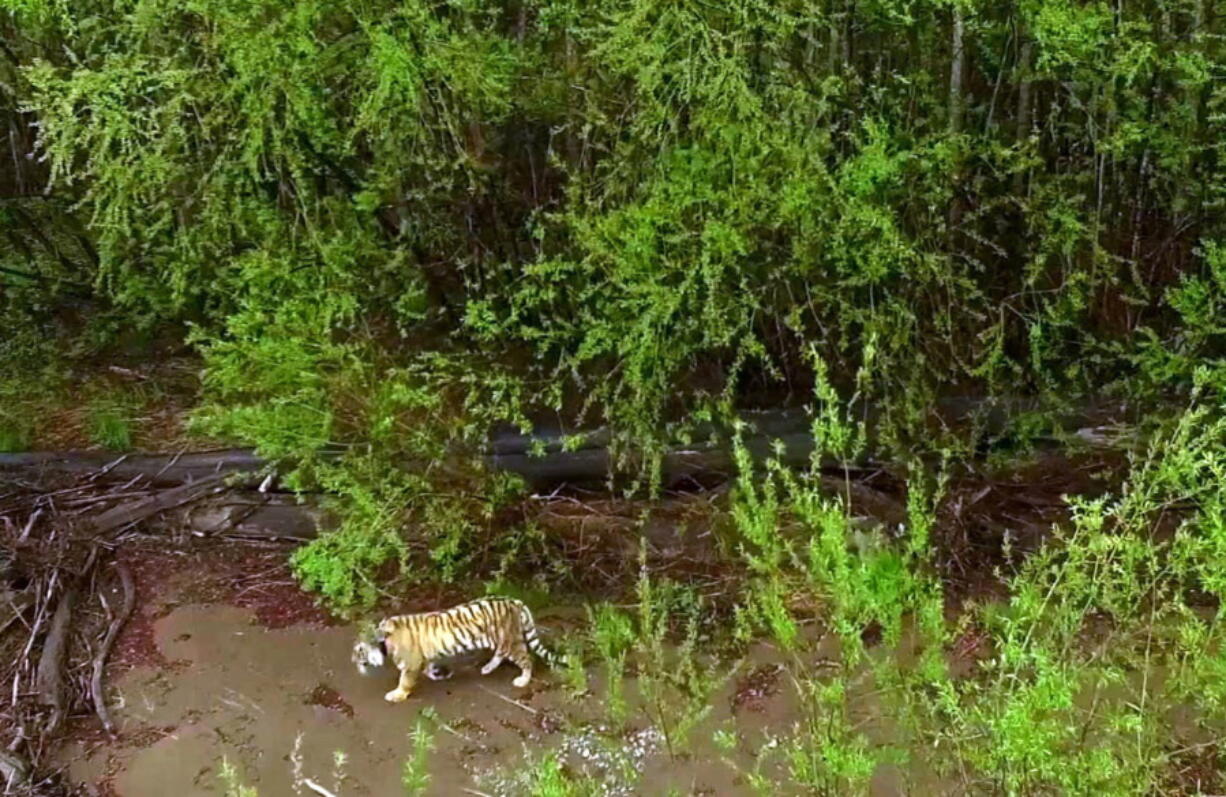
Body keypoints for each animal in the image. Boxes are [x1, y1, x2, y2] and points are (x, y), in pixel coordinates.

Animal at [353, 593, 561, 696]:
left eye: (359, 651)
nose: (353, 661)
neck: (385, 640)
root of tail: (516, 602)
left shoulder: (410, 664)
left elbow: (404, 682)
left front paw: (396, 695)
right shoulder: (422, 657)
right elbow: (429, 667)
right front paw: (438, 674)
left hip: (510, 641)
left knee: (526, 659)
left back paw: (522, 680)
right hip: (502, 640)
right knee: (500, 654)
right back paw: (487, 668)